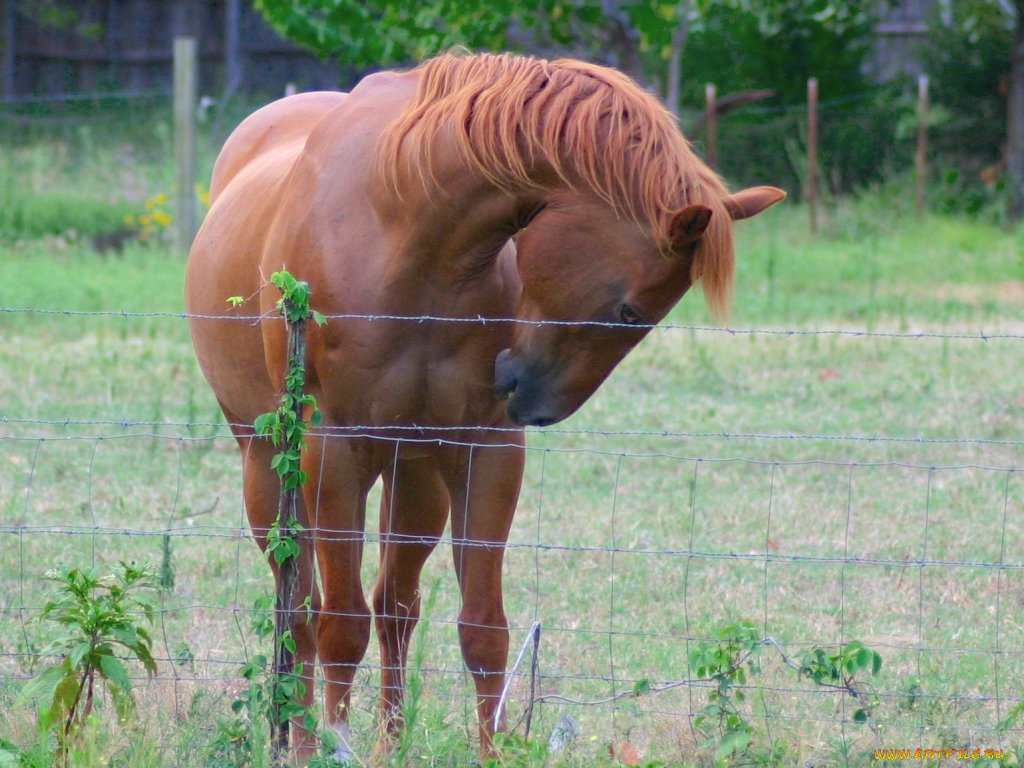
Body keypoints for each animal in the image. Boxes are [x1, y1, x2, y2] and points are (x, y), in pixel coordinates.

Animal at [186, 54, 782, 765]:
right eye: (629, 310)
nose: (534, 401)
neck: (409, 234)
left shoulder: (485, 453)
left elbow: (483, 631)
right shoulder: (335, 454)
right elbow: (339, 626)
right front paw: (332, 743)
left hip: (416, 476)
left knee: (396, 606)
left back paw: (390, 744)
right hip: (271, 469)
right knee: (300, 612)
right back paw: (300, 741)